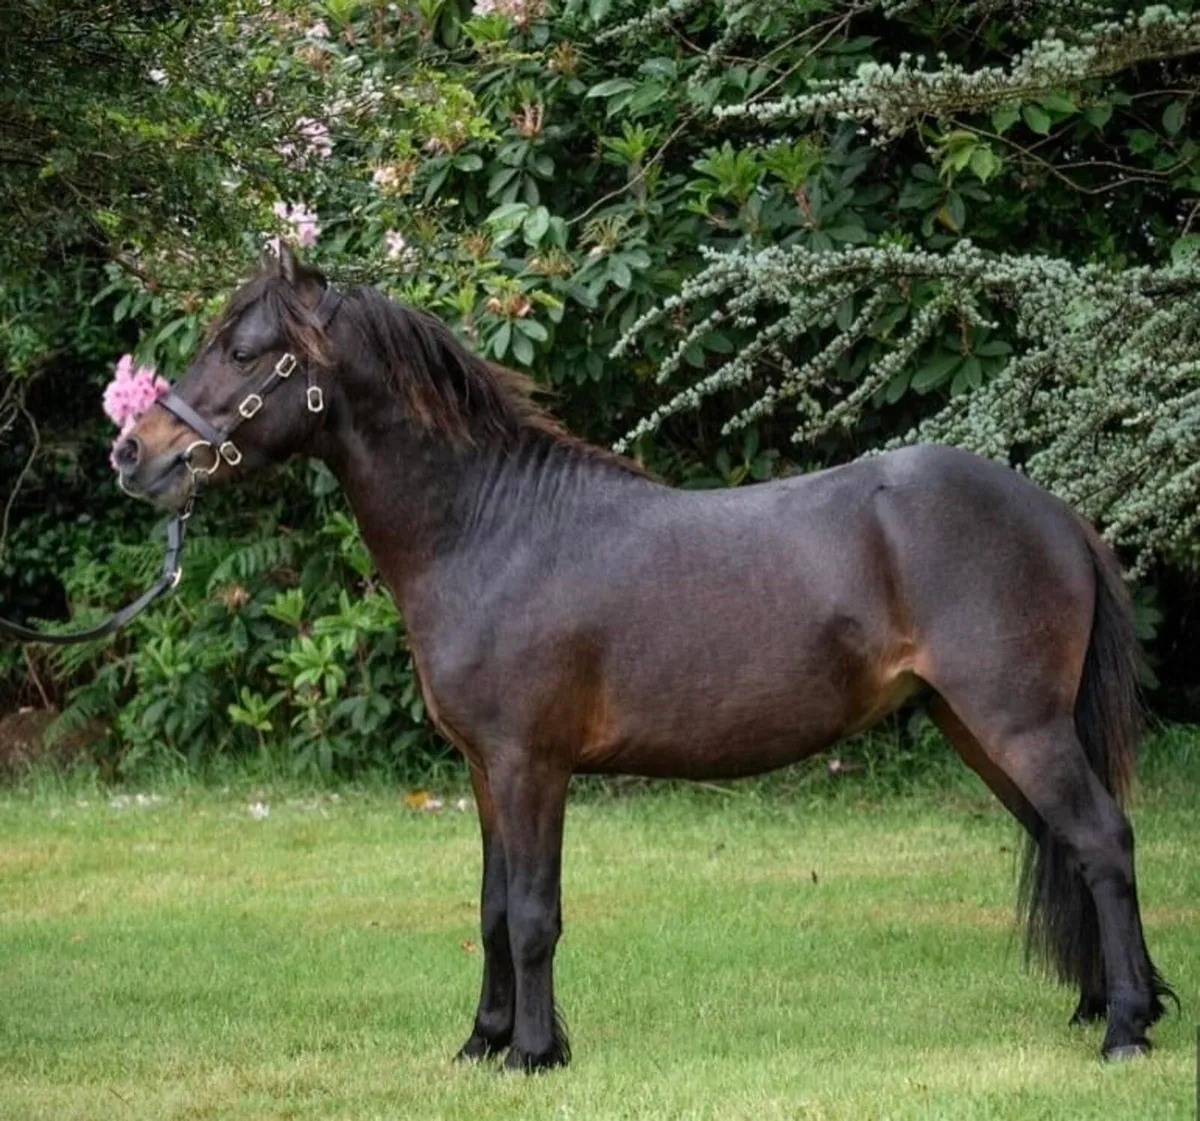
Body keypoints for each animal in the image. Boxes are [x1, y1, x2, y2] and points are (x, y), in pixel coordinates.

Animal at [115, 246, 1173, 1070]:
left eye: (244, 352)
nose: (136, 452)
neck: (490, 529)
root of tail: (1057, 514)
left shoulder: (532, 764)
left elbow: (533, 911)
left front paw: (535, 1053)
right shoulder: (485, 770)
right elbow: (491, 908)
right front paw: (483, 1042)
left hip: (1018, 724)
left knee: (1103, 840)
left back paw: (1124, 1028)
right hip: (981, 730)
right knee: (1067, 843)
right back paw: (1114, 1004)